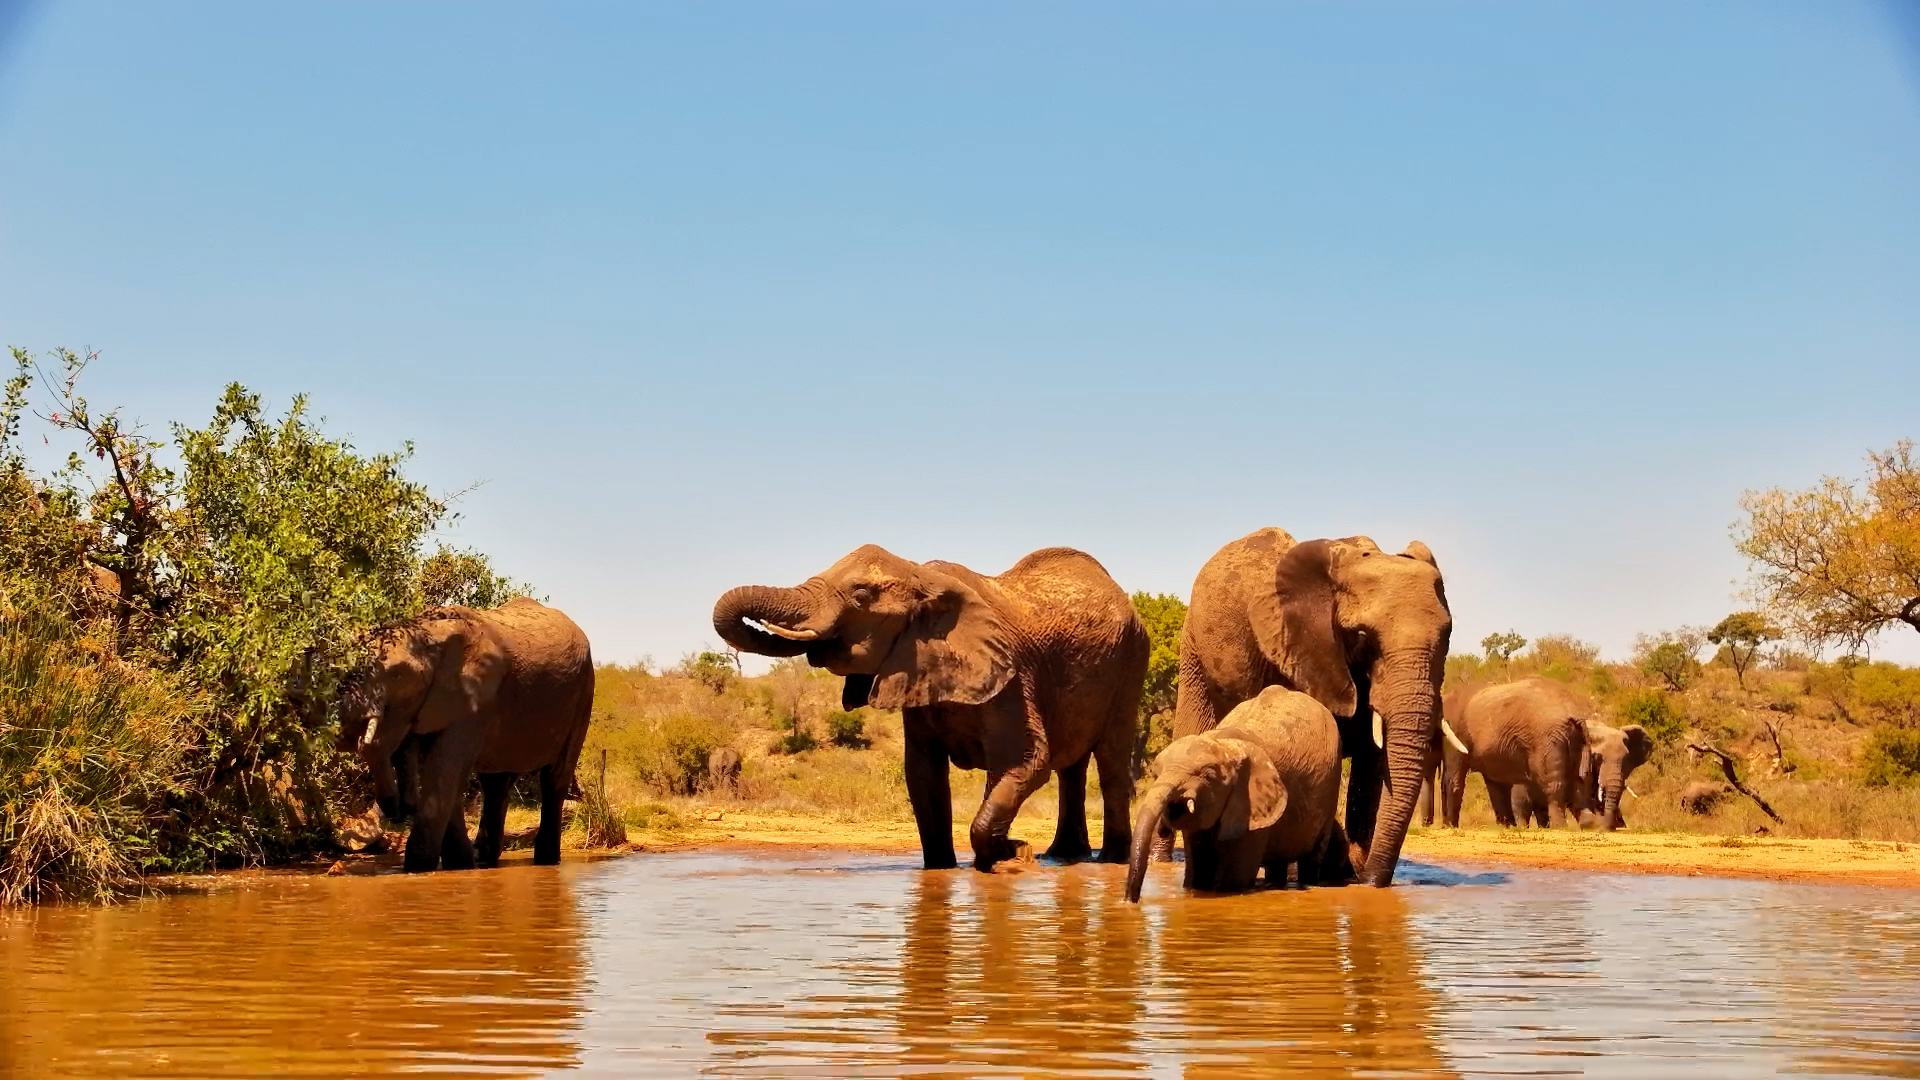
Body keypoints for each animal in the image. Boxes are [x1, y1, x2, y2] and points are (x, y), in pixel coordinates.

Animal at [337, 597, 594, 873]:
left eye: (397, 674)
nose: (397, 811)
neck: (428, 632)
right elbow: (442, 771)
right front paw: (458, 865)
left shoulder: (475, 698)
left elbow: (444, 768)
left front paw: (419, 868)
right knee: (495, 783)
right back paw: (483, 860)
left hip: (584, 693)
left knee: (555, 778)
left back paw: (546, 861)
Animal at [714, 544, 1148, 871]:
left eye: (860, 596)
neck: (920, 577)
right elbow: (923, 776)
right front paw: (945, 869)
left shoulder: (1011, 679)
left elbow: (1026, 760)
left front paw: (1009, 855)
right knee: (1071, 768)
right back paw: (1064, 856)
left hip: (1130, 665)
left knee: (1109, 761)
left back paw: (1109, 859)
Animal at [1125, 686, 1345, 900]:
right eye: (1156, 773)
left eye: (1209, 774)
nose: (1130, 900)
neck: (1224, 742)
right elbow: (1200, 873)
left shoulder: (1249, 806)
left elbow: (1233, 879)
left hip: (1330, 788)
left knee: (1314, 855)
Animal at [1173, 528, 1454, 887]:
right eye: (1362, 637)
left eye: (1447, 635)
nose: (1372, 881)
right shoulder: (1298, 652)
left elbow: (1372, 762)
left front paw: (1352, 875)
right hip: (1193, 655)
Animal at [1437, 677, 1589, 829]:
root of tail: (1572, 711)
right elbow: (1497, 785)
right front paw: (1508, 826)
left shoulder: (1456, 729)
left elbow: (1453, 779)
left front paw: (1449, 827)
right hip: (1574, 739)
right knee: (1577, 784)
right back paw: (1589, 825)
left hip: (1547, 740)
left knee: (1553, 786)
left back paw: (1560, 827)